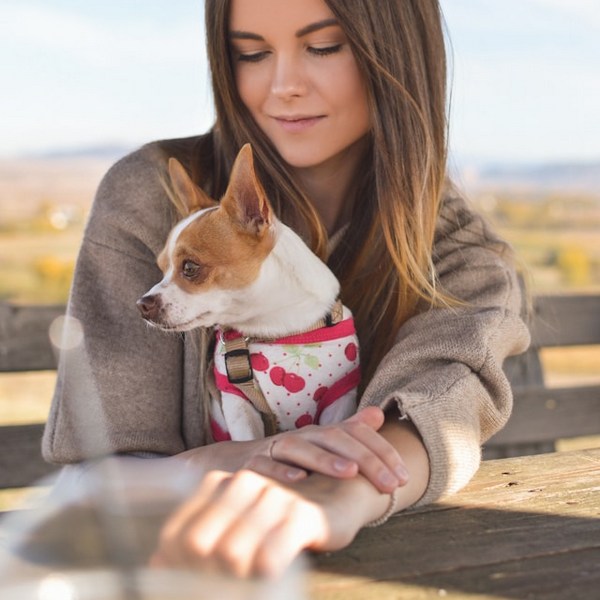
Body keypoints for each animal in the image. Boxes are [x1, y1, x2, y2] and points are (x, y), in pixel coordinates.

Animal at [138, 143, 358, 438]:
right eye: (162, 268)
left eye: (190, 267)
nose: (142, 304)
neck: (274, 325)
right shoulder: (239, 405)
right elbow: (248, 439)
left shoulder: (340, 401)